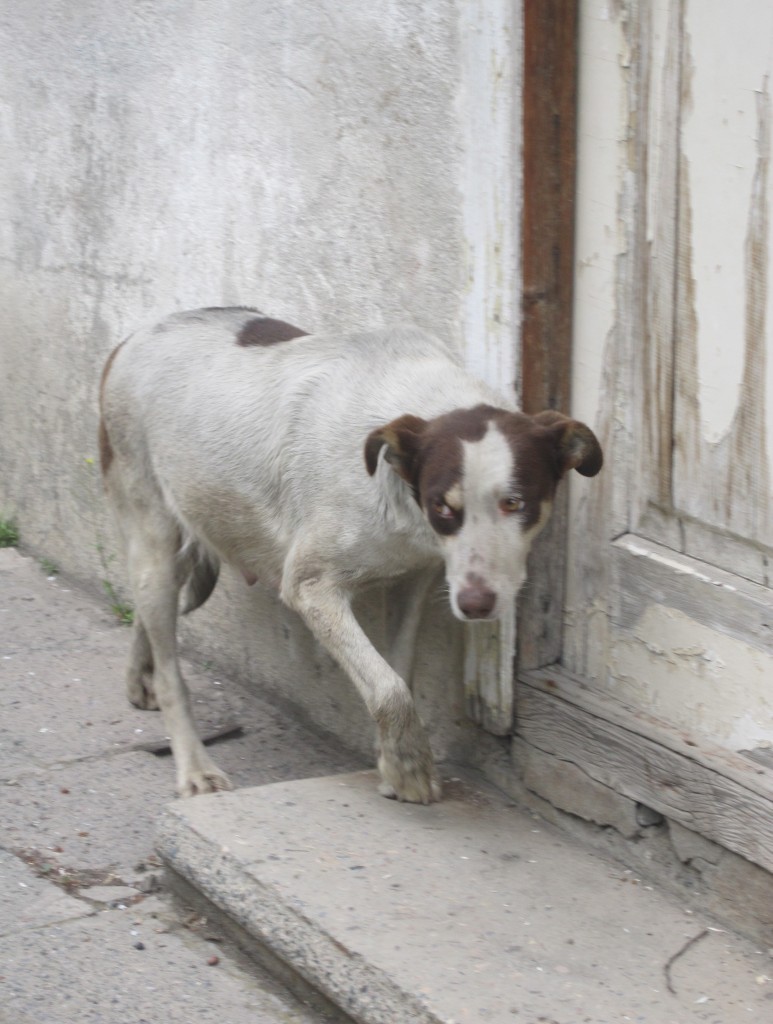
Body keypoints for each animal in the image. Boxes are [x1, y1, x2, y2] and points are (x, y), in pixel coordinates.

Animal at [98, 307, 606, 802]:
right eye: (442, 507)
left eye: (514, 503)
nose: (475, 605)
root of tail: (130, 340)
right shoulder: (310, 587)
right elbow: (388, 688)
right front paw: (408, 769)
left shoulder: (414, 579)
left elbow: (398, 672)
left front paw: (392, 757)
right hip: (152, 537)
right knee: (171, 670)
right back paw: (194, 765)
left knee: (150, 616)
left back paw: (139, 676)